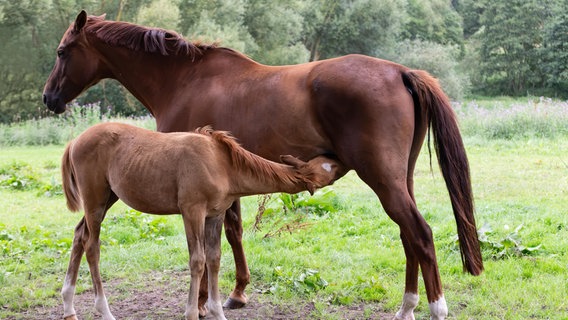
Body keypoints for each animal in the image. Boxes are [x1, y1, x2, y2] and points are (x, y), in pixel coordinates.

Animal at [43, 10, 484, 320]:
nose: (49, 98)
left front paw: (210, 300)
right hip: (399, 180)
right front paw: (234, 294)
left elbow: (219, 240)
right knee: (409, 238)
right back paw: (406, 307)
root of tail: (401, 71)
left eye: (62, 52)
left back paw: (434, 308)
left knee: (420, 235)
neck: (185, 79)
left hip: (383, 180)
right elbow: (231, 235)